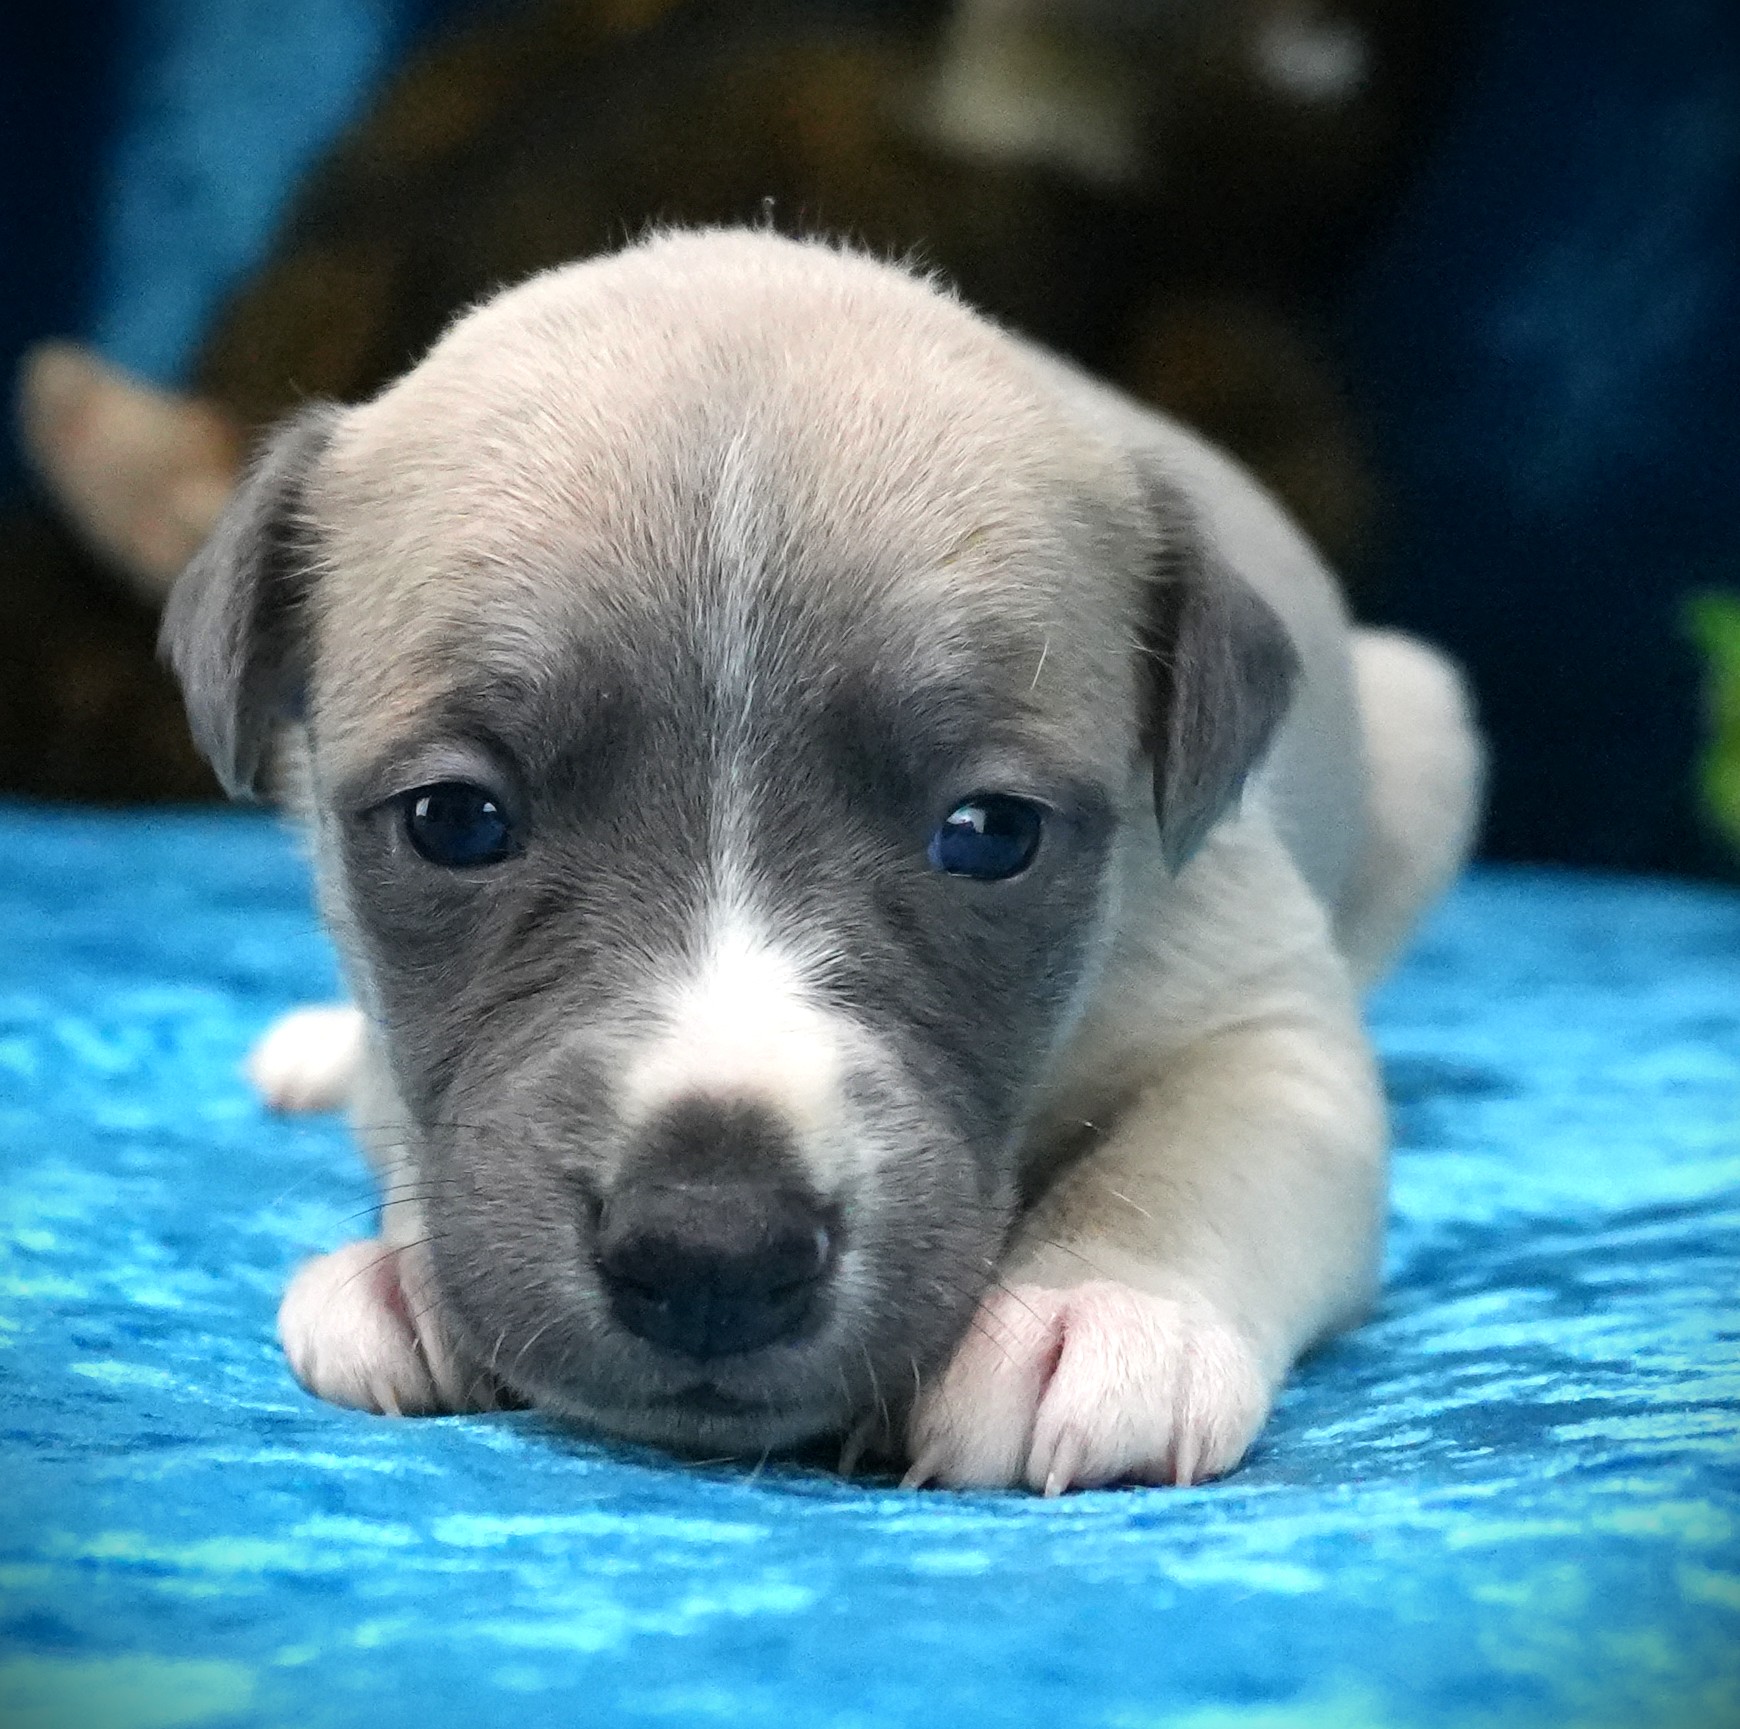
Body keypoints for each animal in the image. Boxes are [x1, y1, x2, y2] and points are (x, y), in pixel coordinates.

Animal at [163, 229, 1481, 1492]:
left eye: (991, 833)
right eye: (454, 821)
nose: (713, 1249)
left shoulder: (1268, 1027)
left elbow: (1189, 1152)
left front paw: (1101, 1311)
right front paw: (398, 1273)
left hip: (1428, 727)